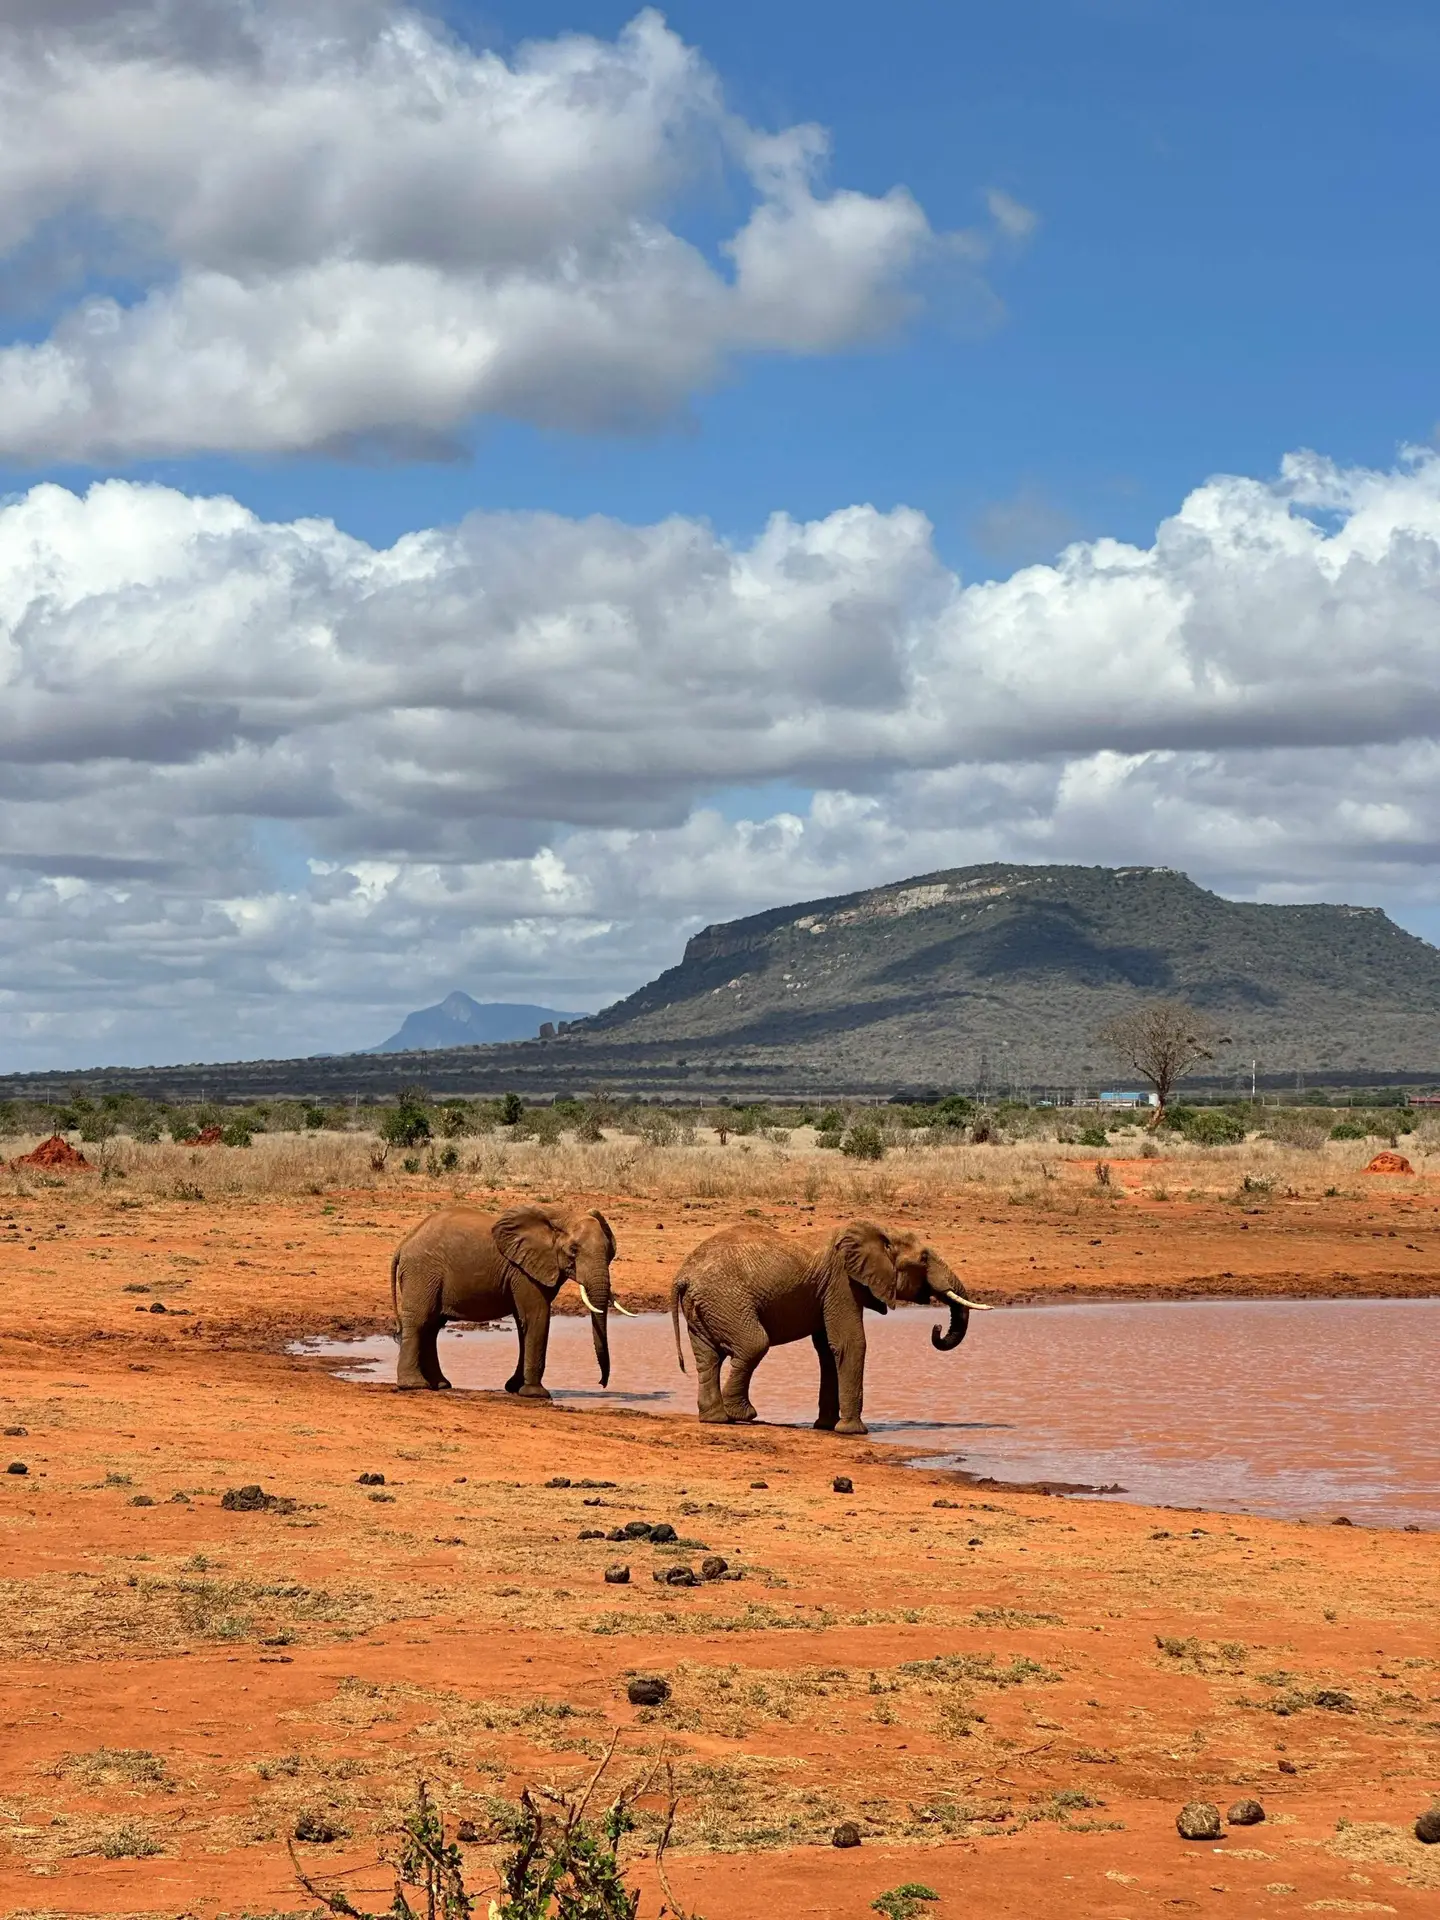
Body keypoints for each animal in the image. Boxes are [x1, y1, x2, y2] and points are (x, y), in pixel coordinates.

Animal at [390, 1202, 632, 1397]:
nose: (601, 1383)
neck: (559, 1215)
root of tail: (404, 1242)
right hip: (422, 1272)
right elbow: (536, 1317)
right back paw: (414, 1386)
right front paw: (536, 1394)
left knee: (432, 1326)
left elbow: (522, 1321)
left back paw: (440, 1385)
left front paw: (515, 1388)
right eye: (573, 1250)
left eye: (610, 1252)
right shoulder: (523, 1271)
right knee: (420, 1320)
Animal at [669, 1219, 990, 1435]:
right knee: (753, 1344)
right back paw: (743, 1415)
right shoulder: (842, 1281)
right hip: (726, 1300)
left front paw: (825, 1426)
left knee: (708, 1358)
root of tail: (683, 1276)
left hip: (707, 1305)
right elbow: (851, 1342)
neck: (878, 1231)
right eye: (923, 1258)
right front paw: (854, 1431)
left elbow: (828, 1349)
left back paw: (716, 1419)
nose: (936, 1327)